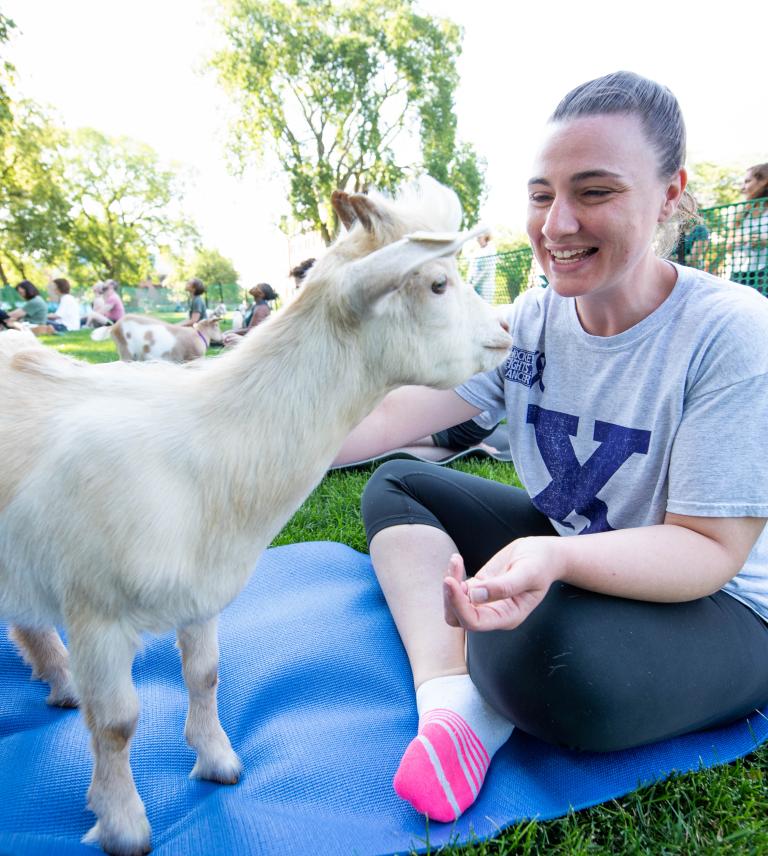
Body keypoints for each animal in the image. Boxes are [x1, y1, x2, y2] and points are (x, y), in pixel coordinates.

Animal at [91, 314, 224, 362]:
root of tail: (114, 326)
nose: (223, 338)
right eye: (217, 326)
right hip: (126, 350)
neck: (199, 334)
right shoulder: (192, 358)